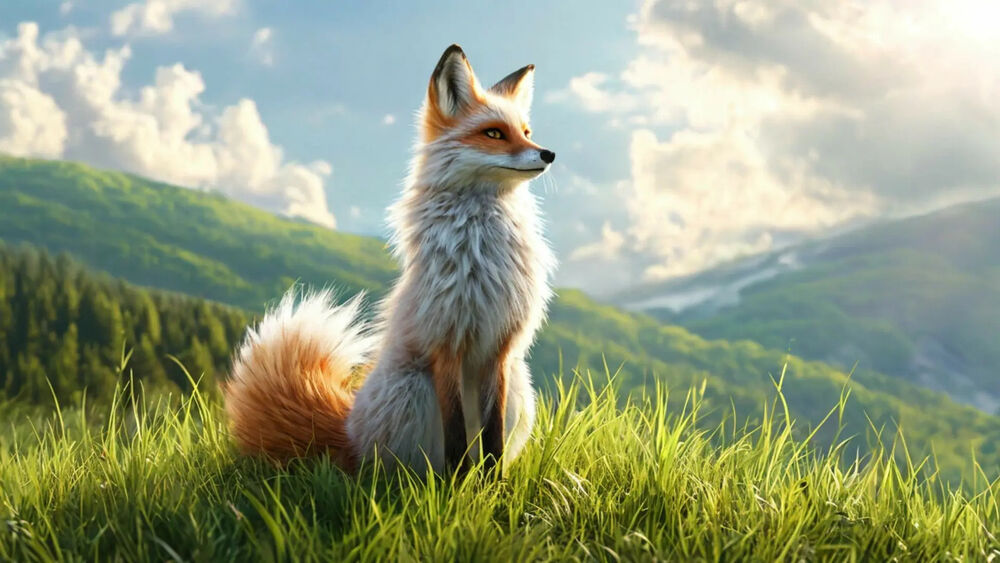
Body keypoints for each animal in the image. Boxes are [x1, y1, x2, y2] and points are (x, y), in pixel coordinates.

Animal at [223, 44, 556, 476]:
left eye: (526, 132)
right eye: (495, 133)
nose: (548, 153)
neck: (483, 251)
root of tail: (350, 432)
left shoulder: (499, 348)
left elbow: (493, 441)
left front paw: (492, 485)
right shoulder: (446, 342)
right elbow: (455, 438)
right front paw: (457, 487)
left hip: (518, 382)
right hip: (414, 387)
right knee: (406, 466)